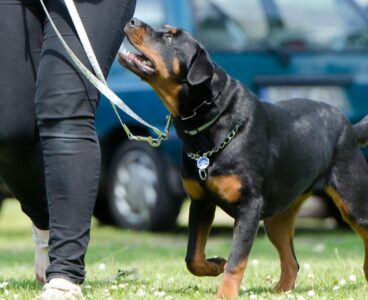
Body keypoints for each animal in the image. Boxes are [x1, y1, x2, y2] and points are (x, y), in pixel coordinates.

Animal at [118, 18, 368, 298]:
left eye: (170, 37)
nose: (133, 20)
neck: (209, 123)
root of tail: (349, 127)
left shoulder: (249, 208)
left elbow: (237, 259)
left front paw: (225, 292)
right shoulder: (201, 202)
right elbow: (193, 257)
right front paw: (215, 264)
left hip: (353, 202)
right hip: (277, 216)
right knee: (291, 261)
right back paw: (279, 290)